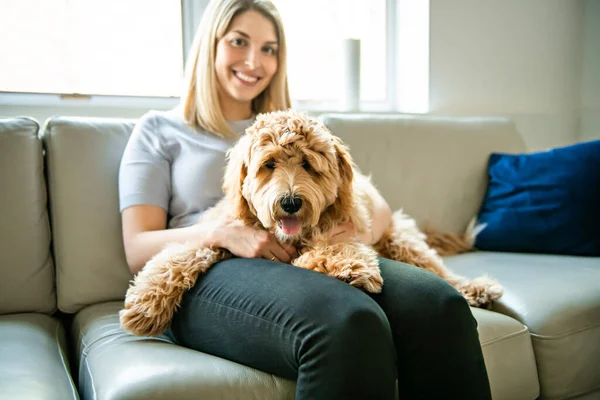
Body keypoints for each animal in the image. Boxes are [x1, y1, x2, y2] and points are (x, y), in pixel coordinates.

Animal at [119, 108, 504, 334]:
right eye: (269, 164)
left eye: (307, 164)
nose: (290, 202)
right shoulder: (221, 232)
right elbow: (179, 255)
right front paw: (145, 303)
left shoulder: (343, 231)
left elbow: (332, 249)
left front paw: (349, 267)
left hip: (402, 241)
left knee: (440, 273)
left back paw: (475, 288)